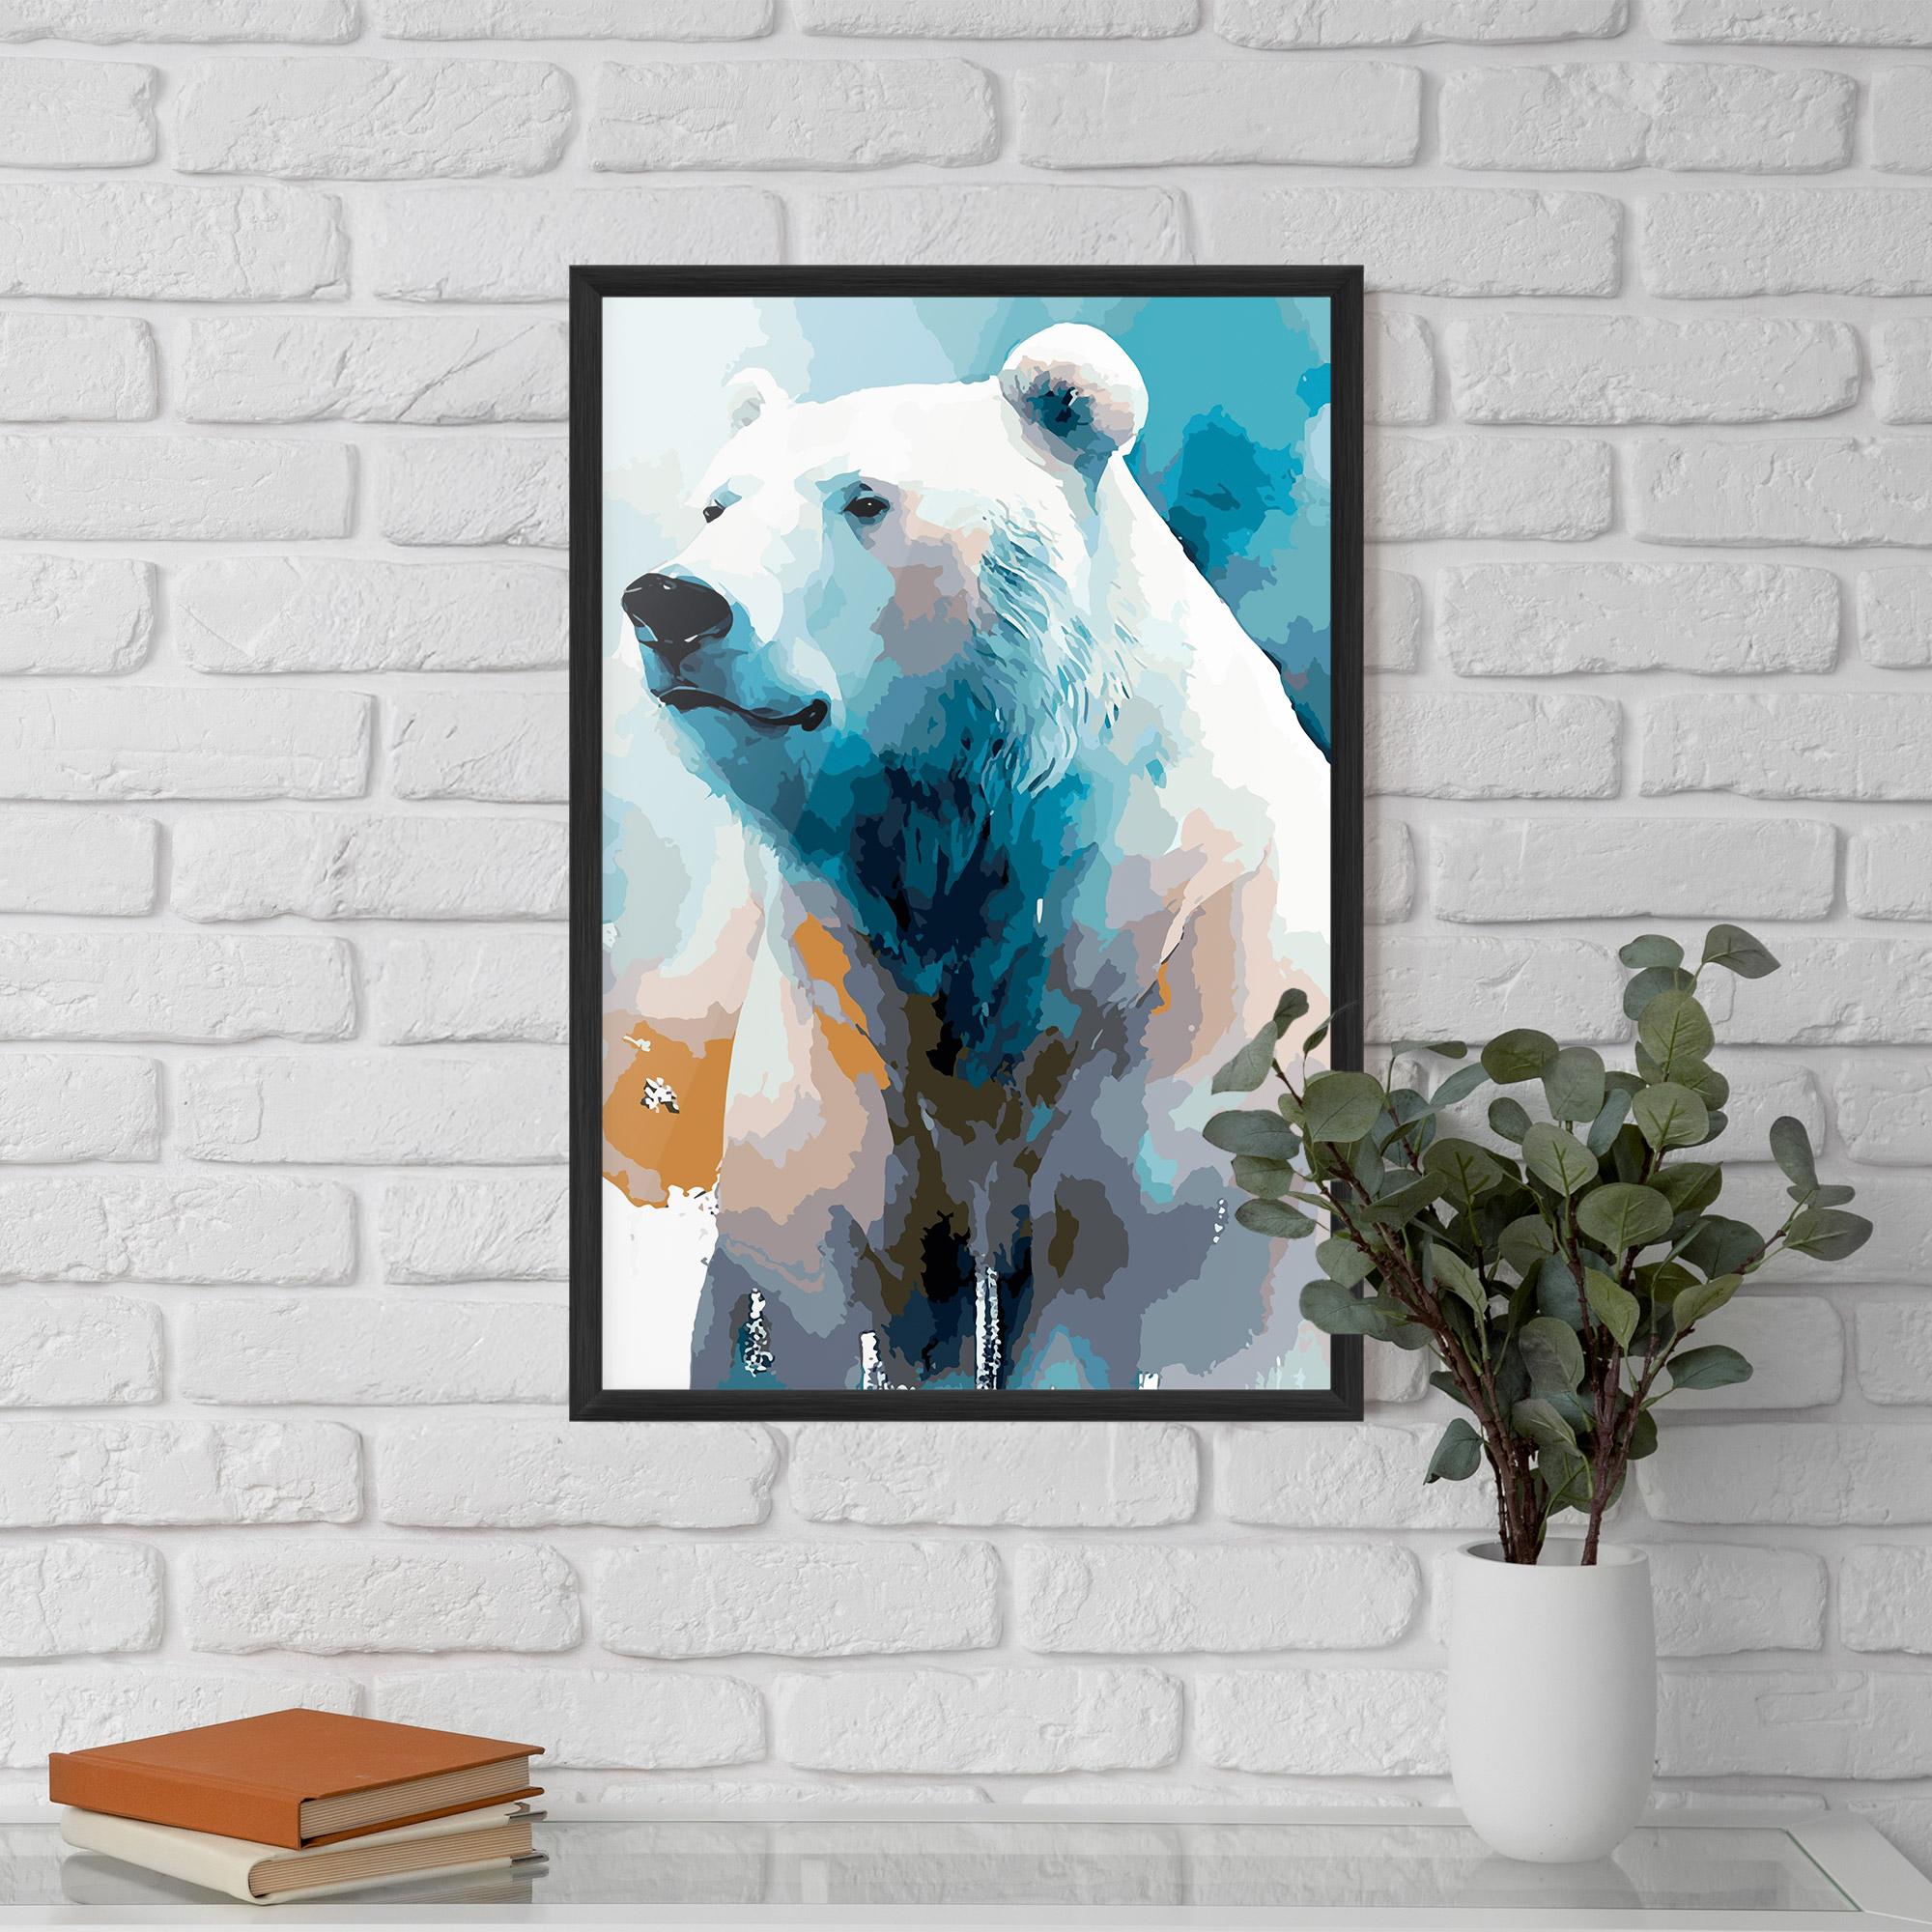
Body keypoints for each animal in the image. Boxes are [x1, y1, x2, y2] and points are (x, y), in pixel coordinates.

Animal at [621, 323, 1333, 1392]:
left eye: (864, 498)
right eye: (718, 501)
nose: (671, 602)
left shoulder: (1202, 1028)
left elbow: (1173, 1303)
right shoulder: (838, 1039)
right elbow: (801, 1295)